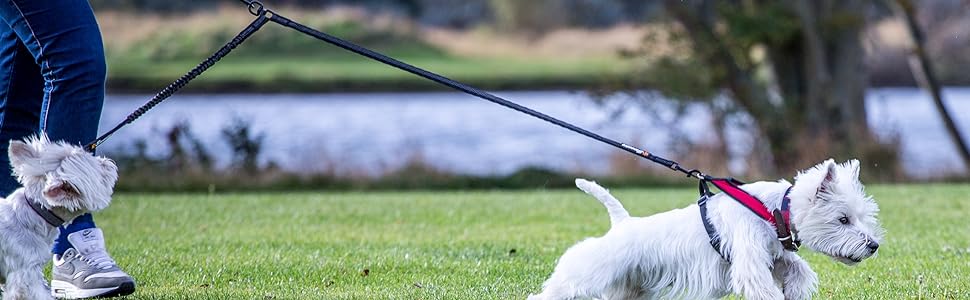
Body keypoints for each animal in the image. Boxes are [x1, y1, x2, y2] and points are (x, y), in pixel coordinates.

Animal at [528, 158, 884, 298]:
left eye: (863, 216)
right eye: (843, 219)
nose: (873, 246)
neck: (774, 210)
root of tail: (621, 223)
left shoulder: (773, 255)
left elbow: (797, 270)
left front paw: (795, 291)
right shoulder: (750, 259)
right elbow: (764, 286)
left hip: (632, 285)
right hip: (590, 270)